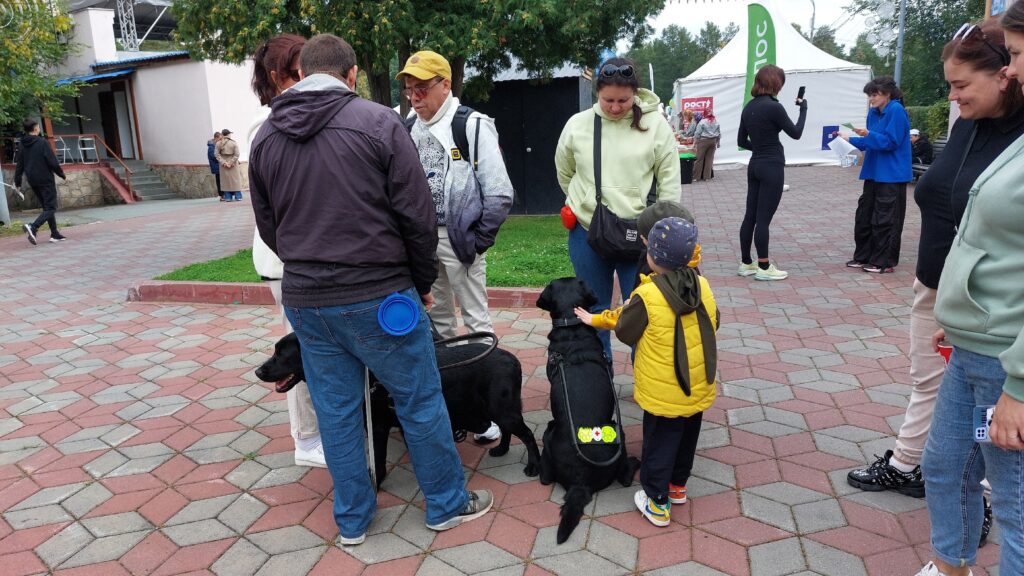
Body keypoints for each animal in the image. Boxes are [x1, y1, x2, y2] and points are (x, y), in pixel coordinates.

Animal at [536, 276, 638, 541]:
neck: (571, 326)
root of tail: (580, 482)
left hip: (550, 436)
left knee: (544, 477)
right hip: (618, 430)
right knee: (624, 476)